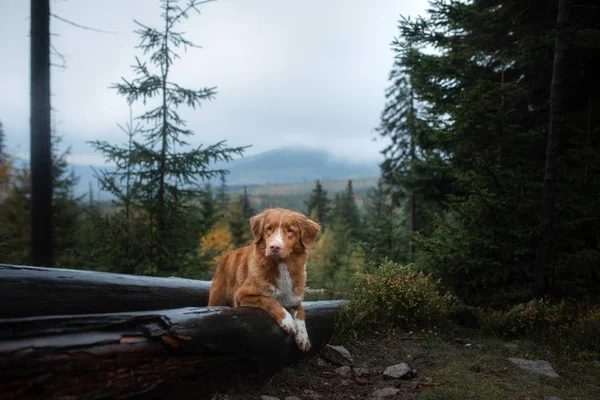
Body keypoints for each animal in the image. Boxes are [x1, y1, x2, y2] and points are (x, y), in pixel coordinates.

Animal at [207, 208, 322, 352]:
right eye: (269, 228)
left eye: (290, 230)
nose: (274, 247)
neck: (281, 266)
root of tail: (227, 255)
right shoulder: (241, 295)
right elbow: (269, 299)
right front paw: (288, 321)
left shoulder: (294, 298)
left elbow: (301, 313)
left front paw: (303, 337)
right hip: (217, 297)